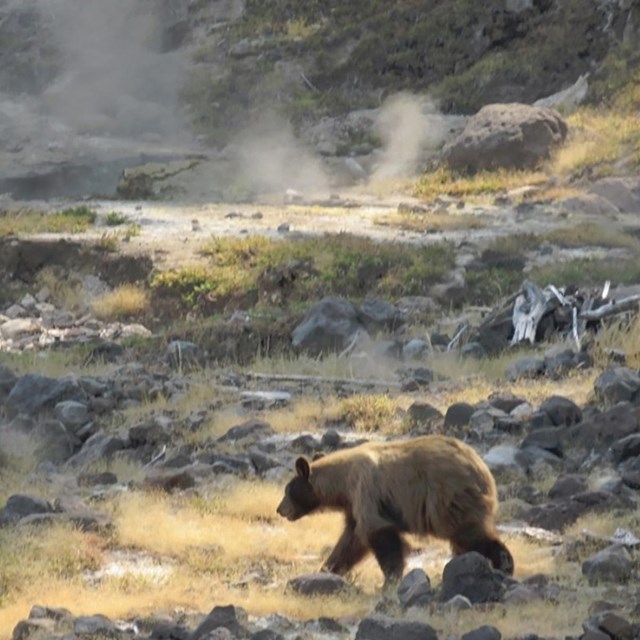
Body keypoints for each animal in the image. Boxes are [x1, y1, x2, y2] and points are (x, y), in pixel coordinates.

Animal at [276, 432, 516, 588]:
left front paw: (390, 580)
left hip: (449, 498)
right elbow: (350, 541)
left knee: (469, 534)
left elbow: (379, 535)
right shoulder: (354, 504)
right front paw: (327, 569)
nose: (280, 509)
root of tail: (483, 469)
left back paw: (504, 563)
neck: (343, 483)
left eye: (287, 490)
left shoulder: (367, 491)